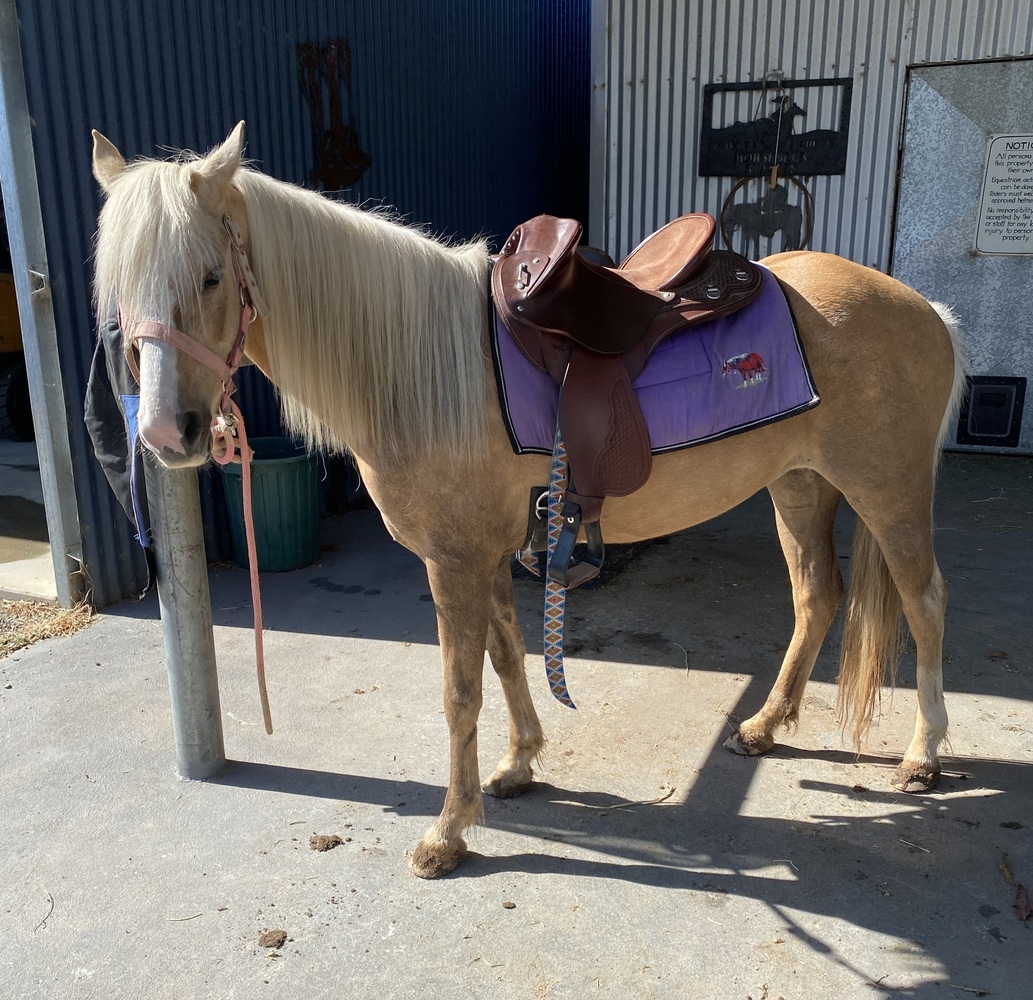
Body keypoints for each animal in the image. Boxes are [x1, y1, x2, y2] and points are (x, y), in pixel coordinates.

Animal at [91, 123, 966, 879]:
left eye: (210, 276)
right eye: (119, 291)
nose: (167, 432)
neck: (418, 368)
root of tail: (926, 308)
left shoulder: (451, 561)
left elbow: (459, 690)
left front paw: (448, 832)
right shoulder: (486, 553)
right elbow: (509, 656)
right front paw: (518, 766)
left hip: (886, 490)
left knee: (924, 601)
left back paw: (922, 755)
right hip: (798, 485)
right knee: (817, 596)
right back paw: (760, 725)